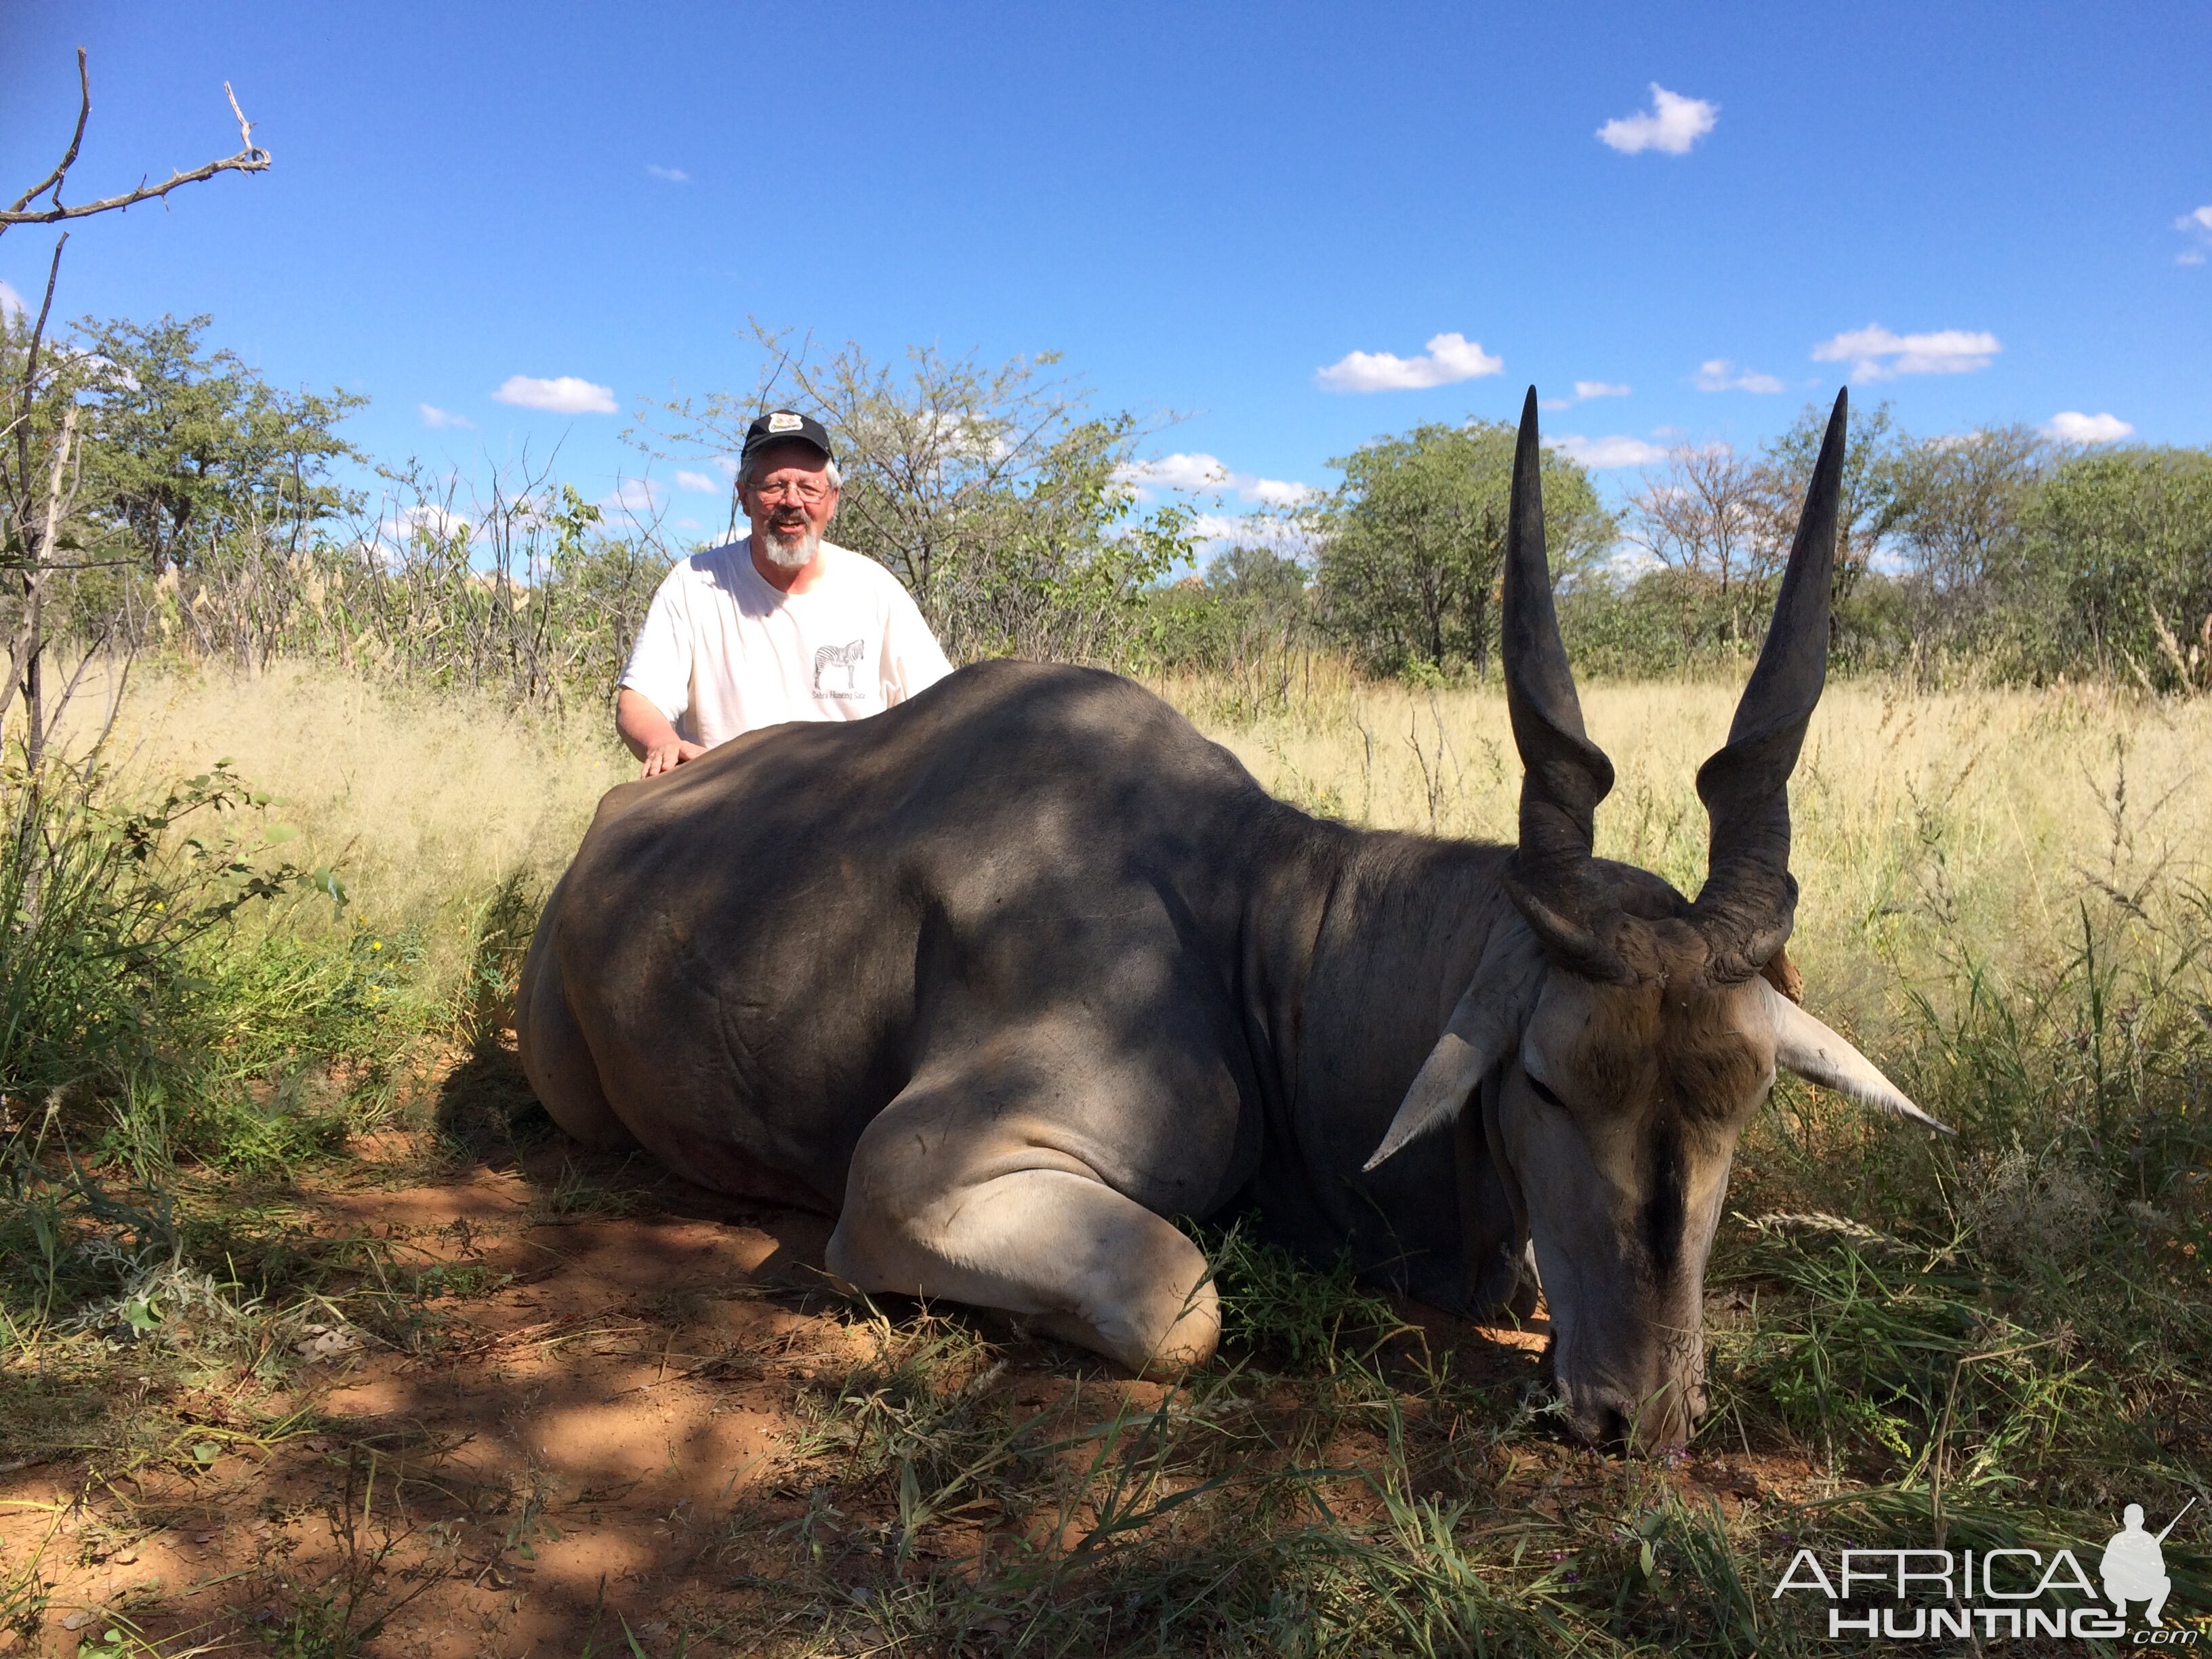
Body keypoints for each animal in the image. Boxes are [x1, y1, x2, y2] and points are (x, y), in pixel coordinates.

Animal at [513, 387, 1938, 1442]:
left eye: (1745, 1095)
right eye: (1543, 1080)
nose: (1632, 1414)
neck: (1252, 921)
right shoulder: (914, 1177)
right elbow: (1182, 1302)